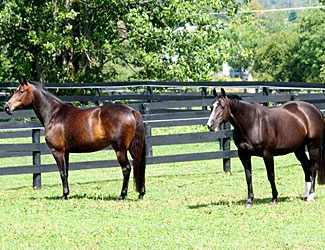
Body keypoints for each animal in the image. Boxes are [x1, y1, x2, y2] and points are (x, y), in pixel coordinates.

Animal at [4, 77, 146, 200]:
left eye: (21, 91)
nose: (7, 107)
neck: (54, 114)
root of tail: (132, 111)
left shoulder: (57, 151)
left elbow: (62, 173)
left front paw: (64, 195)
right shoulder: (66, 152)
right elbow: (66, 173)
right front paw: (67, 194)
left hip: (120, 150)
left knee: (126, 169)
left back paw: (122, 195)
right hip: (131, 148)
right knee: (139, 166)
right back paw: (141, 193)